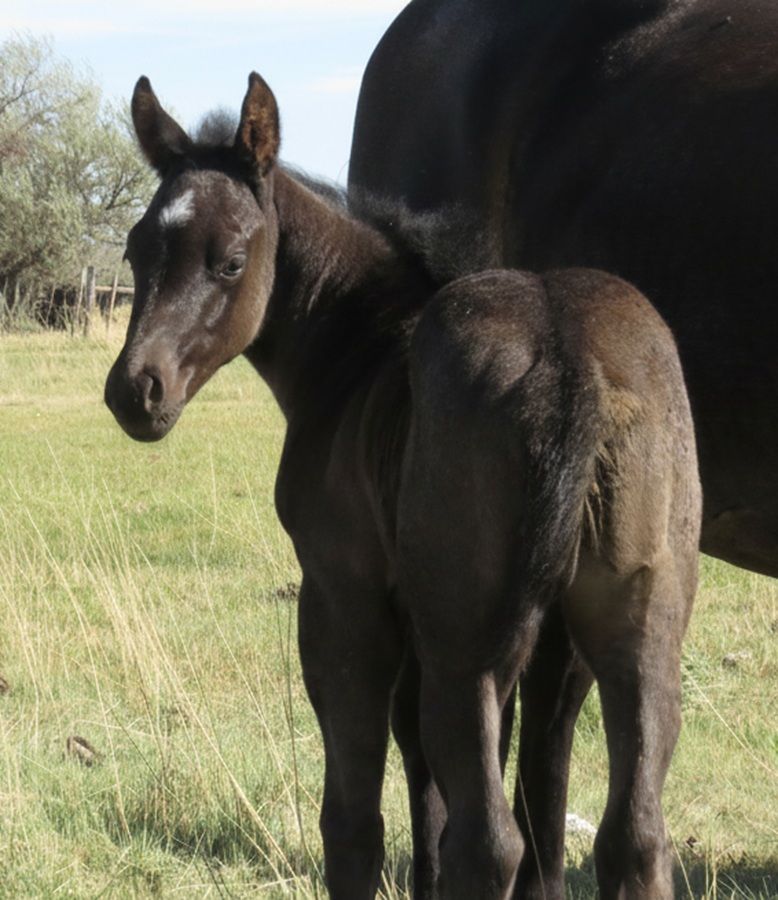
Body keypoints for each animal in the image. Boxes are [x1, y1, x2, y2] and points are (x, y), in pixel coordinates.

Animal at [105, 73, 701, 900]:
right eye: (136, 250)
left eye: (229, 262)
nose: (136, 392)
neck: (361, 342)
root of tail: (568, 358)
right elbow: (436, 787)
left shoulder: (343, 600)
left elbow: (354, 820)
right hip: (637, 626)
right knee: (631, 835)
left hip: (467, 637)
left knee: (489, 842)